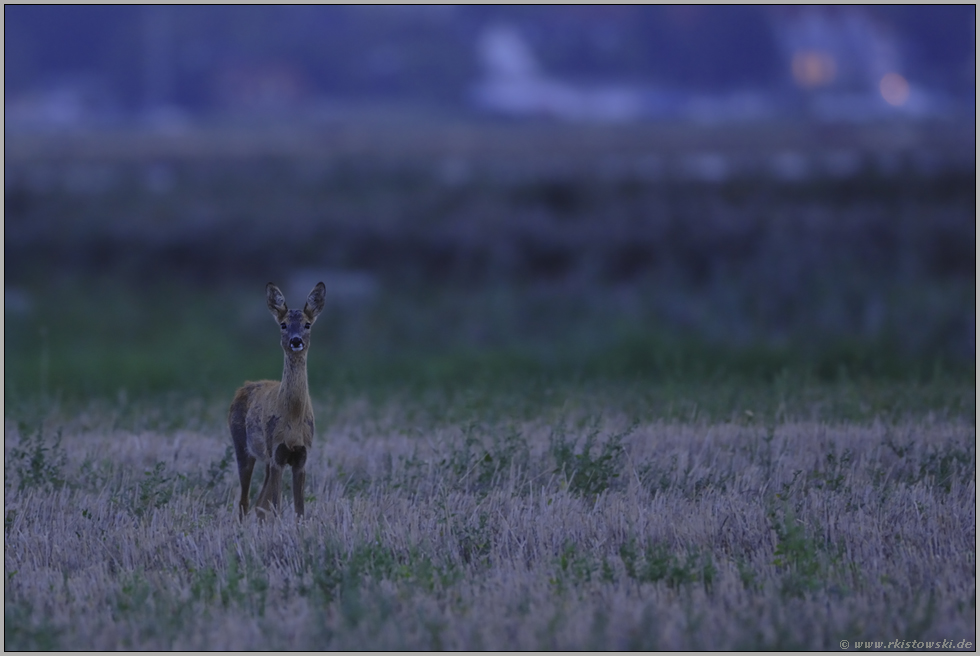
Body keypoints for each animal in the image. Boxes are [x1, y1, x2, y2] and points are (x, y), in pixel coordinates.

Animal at [228, 281, 325, 520]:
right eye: (283, 324)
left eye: (307, 324)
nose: (296, 340)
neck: (293, 418)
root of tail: (244, 386)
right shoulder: (277, 454)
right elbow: (277, 506)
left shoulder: (301, 456)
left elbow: (299, 510)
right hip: (242, 446)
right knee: (245, 502)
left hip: (265, 458)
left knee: (259, 504)